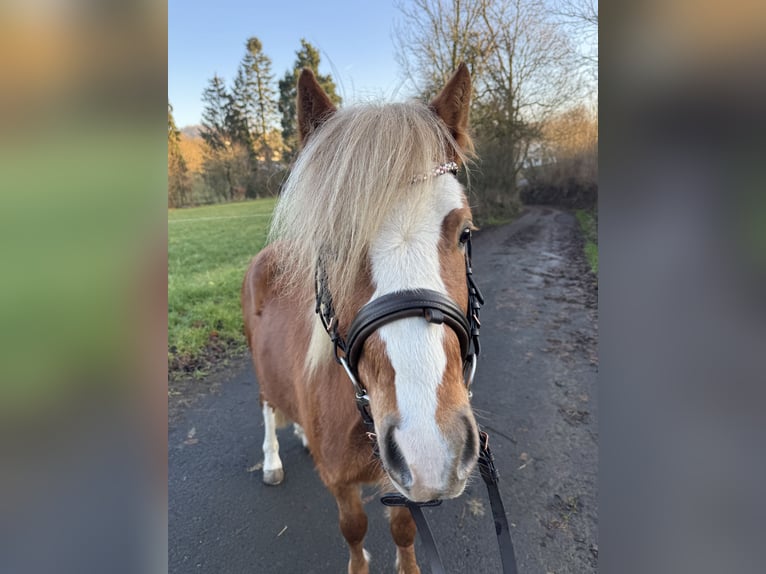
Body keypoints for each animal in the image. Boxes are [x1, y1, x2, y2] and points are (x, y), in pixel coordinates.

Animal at [243, 64, 480, 574]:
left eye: (465, 233)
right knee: (268, 407)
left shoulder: (401, 483)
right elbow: (353, 530)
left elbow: (405, 530)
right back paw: (272, 459)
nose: (429, 444)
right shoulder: (340, 483)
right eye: (333, 246)